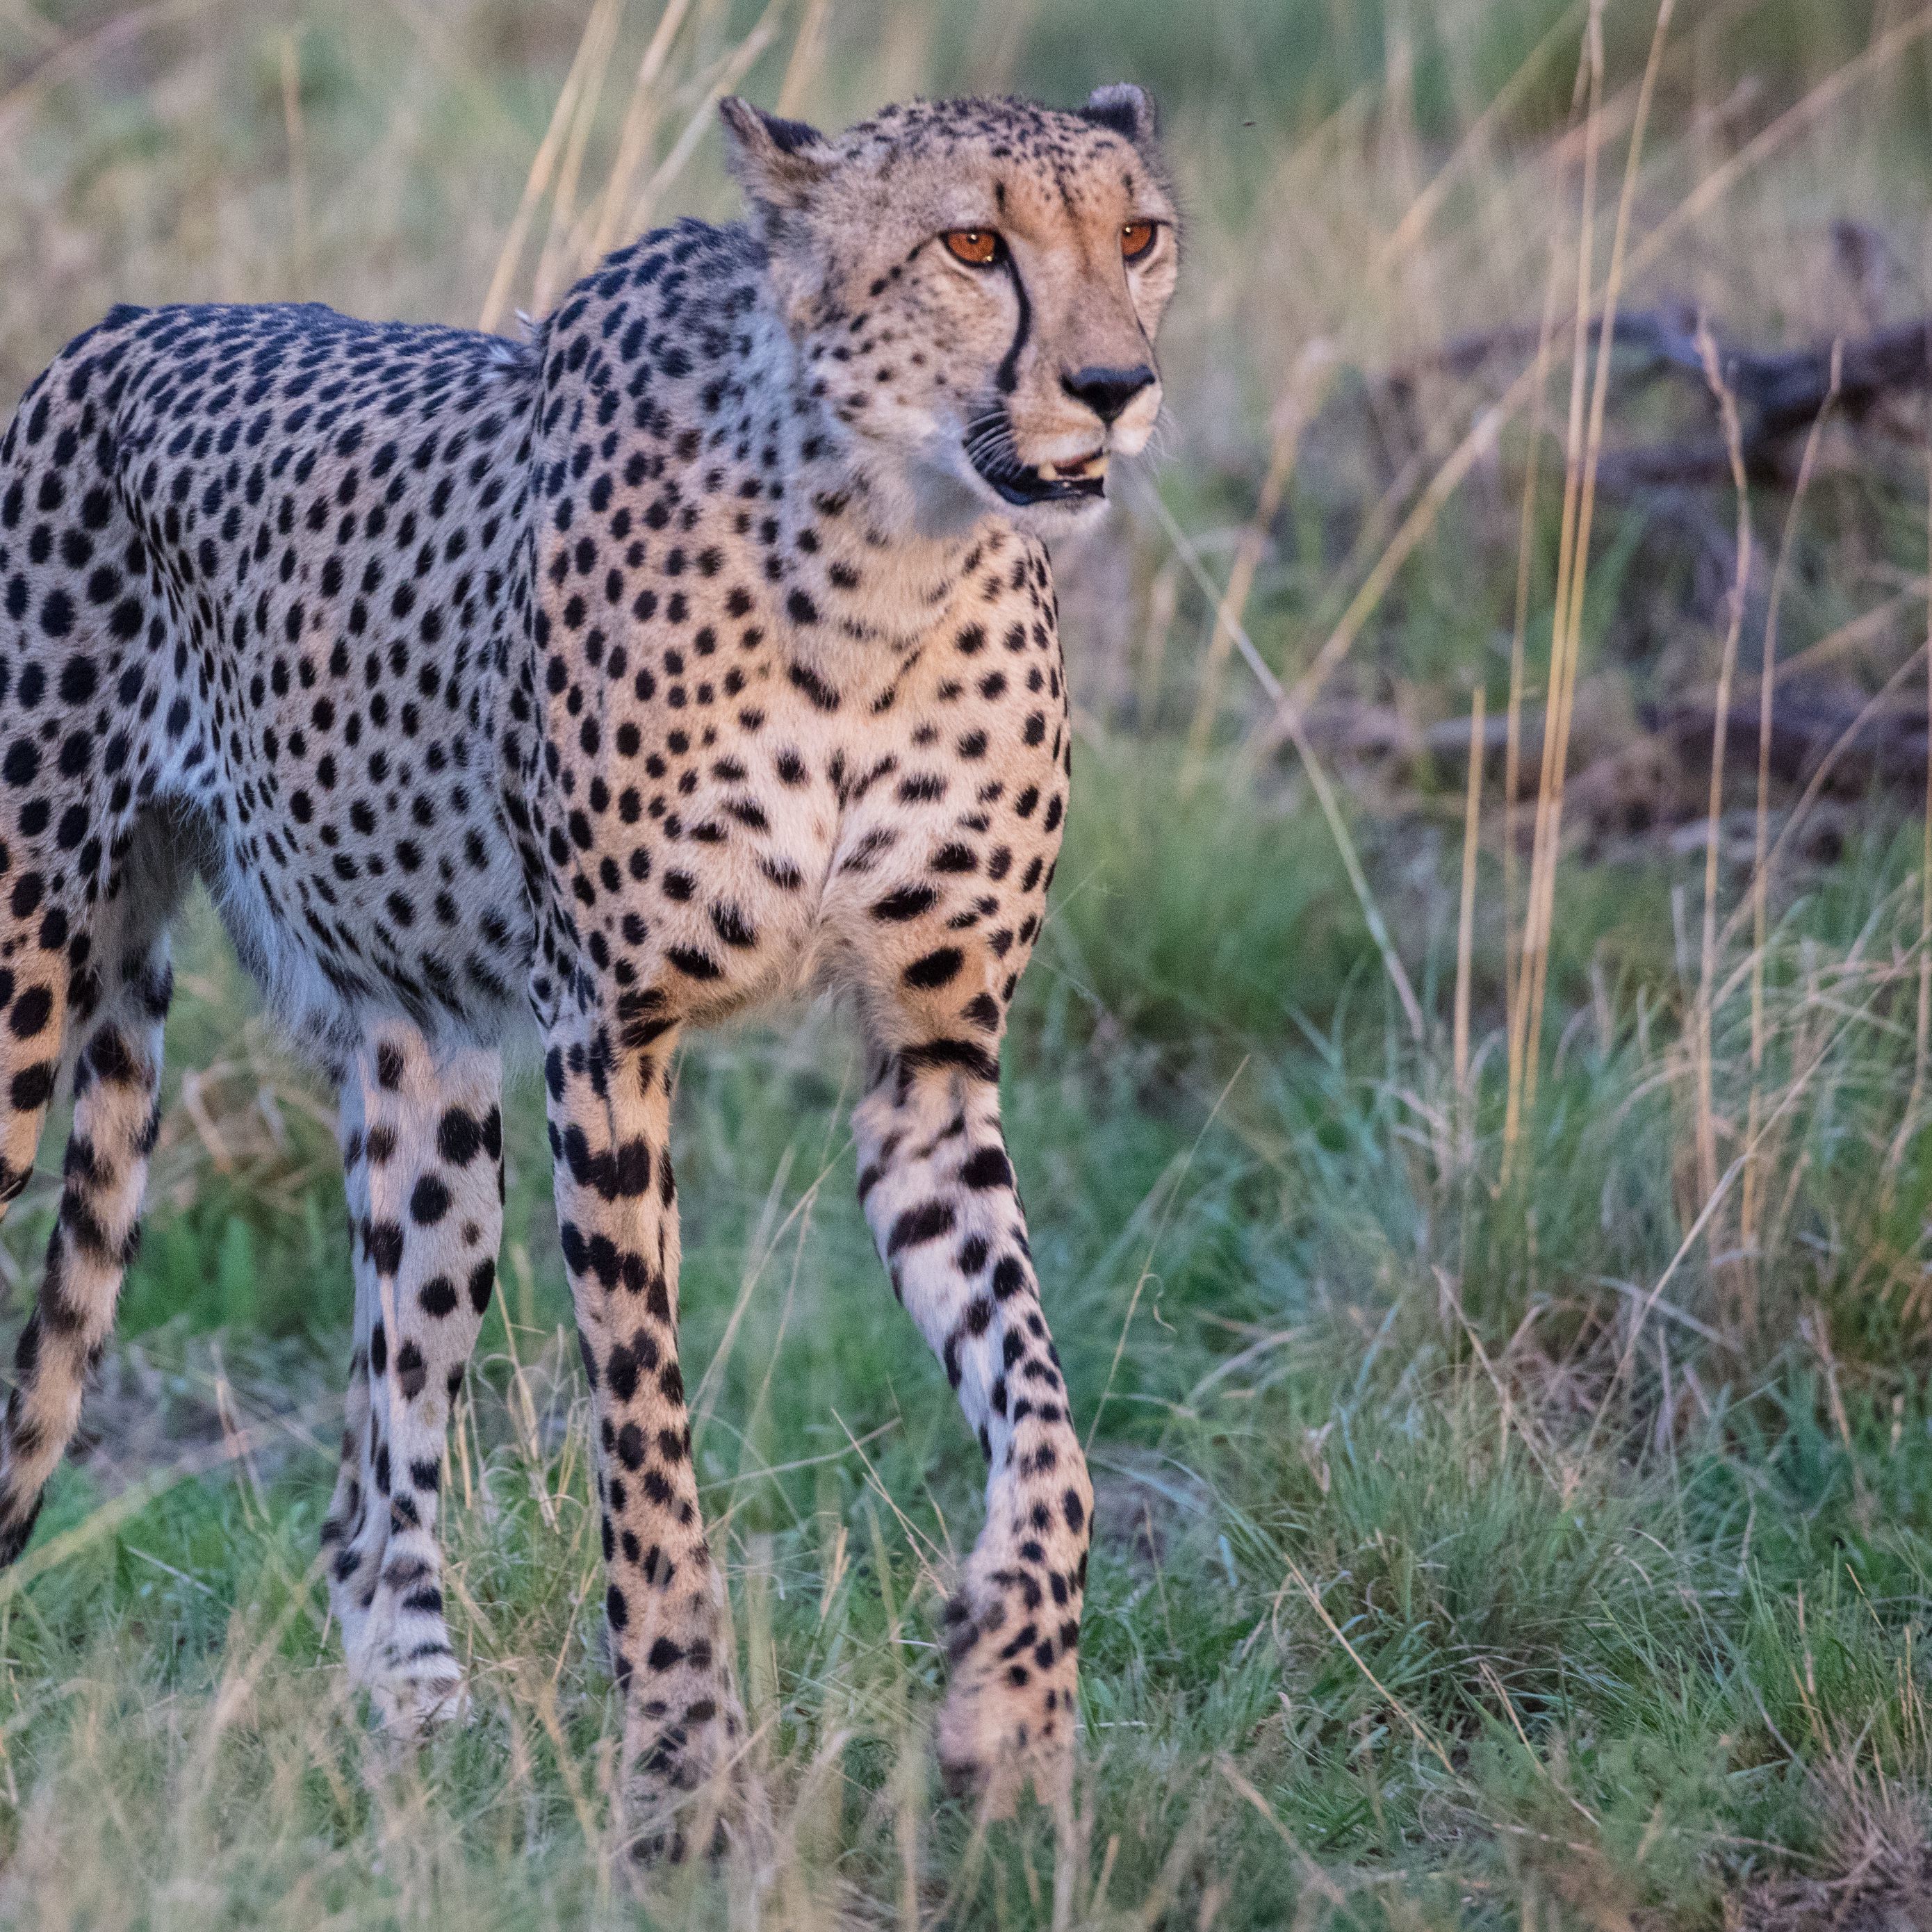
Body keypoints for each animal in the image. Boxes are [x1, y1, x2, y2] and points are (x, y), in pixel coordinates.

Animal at [0, 87, 1174, 1839]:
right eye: (973, 244)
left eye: (1139, 235)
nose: (1115, 385)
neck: (884, 564)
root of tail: (113, 328)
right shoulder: (607, 1039)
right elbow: (647, 1449)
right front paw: (681, 1768)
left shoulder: (930, 1070)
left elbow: (1049, 1428)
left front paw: (1007, 1703)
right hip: (27, 988)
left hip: (432, 1104)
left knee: (366, 1485)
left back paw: (418, 1715)